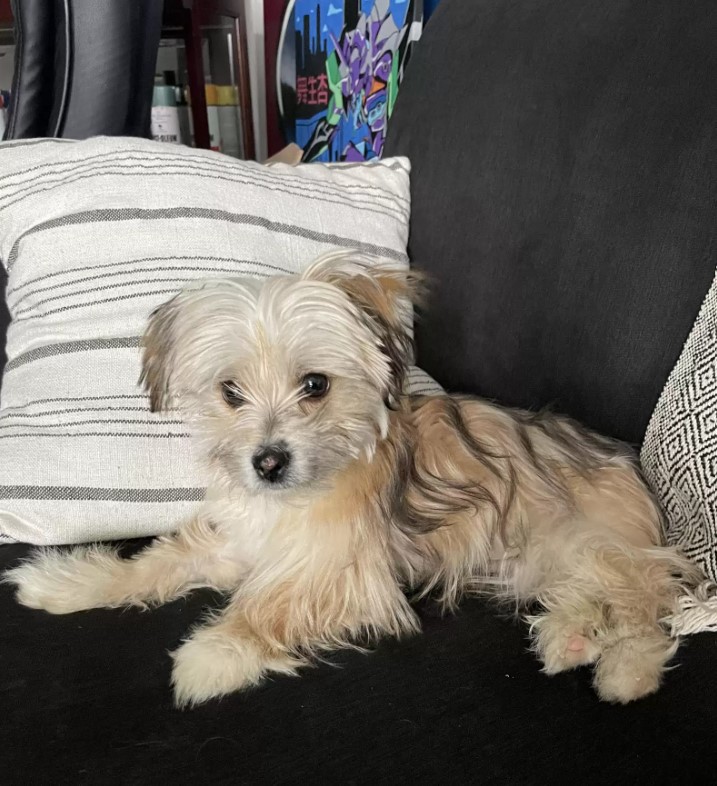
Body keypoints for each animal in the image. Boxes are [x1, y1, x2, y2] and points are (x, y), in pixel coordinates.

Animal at [5, 250, 696, 704]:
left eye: (315, 386)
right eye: (230, 392)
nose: (267, 462)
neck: (289, 500)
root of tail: (622, 459)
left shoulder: (344, 577)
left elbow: (270, 606)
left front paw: (216, 653)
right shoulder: (235, 545)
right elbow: (152, 566)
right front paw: (69, 583)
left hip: (587, 540)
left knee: (642, 601)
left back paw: (626, 671)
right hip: (543, 557)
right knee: (593, 595)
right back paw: (568, 638)